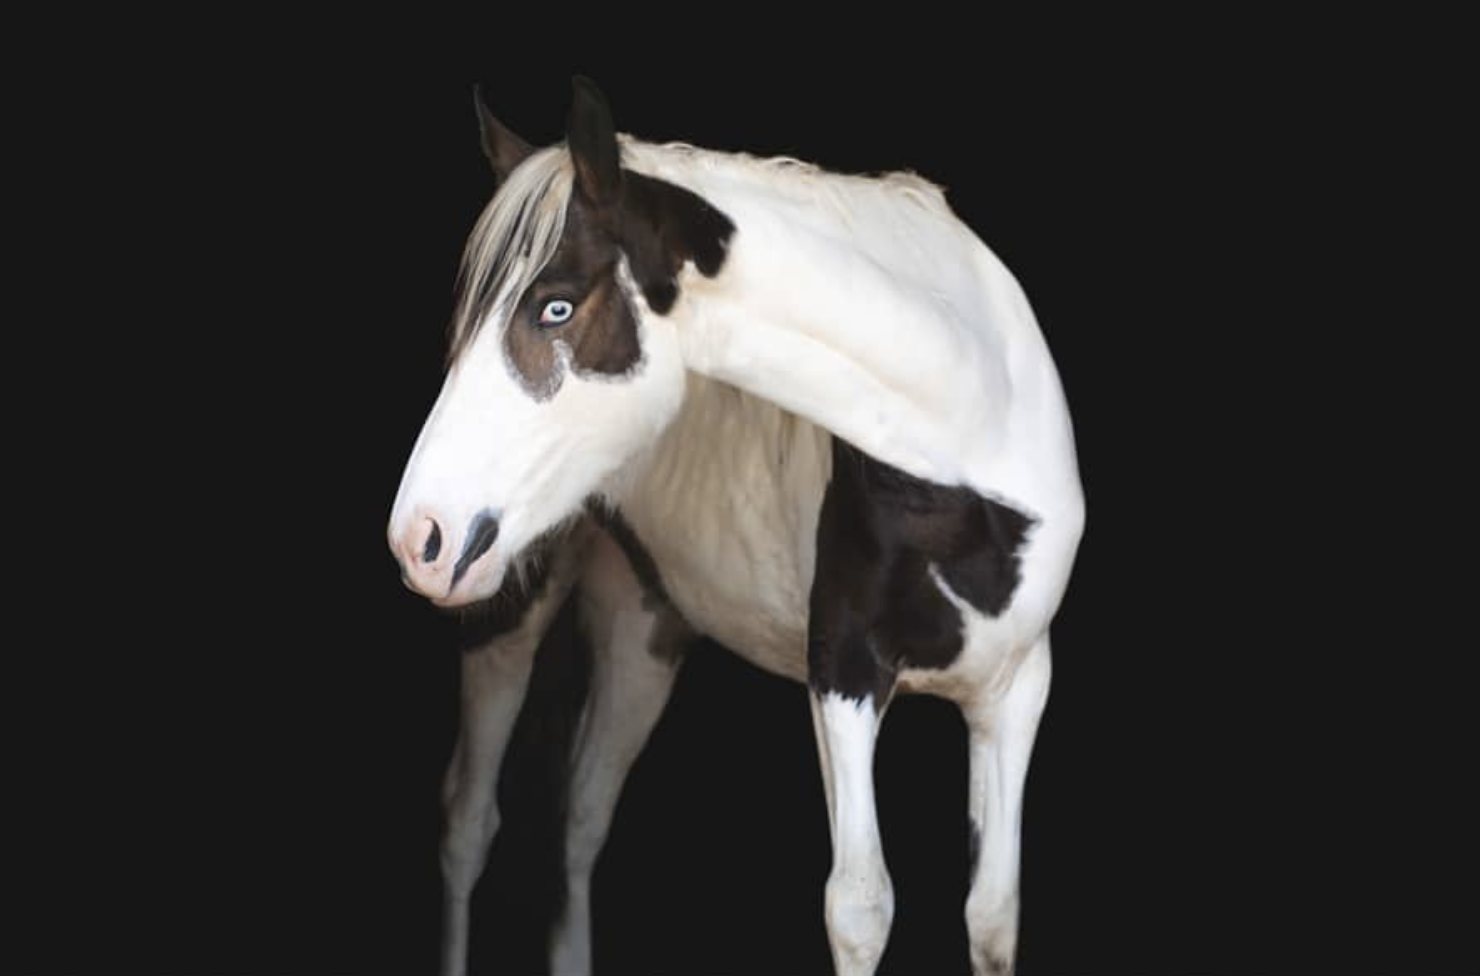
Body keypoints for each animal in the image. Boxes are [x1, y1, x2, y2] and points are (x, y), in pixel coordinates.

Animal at [388, 77, 1085, 976]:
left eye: (556, 308)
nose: (419, 536)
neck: (977, 424)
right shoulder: (843, 674)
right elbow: (860, 906)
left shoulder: (1017, 686)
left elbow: (993, 913)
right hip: (509, 619)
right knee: (469, 825)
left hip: (644, 627)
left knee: (582, 818)